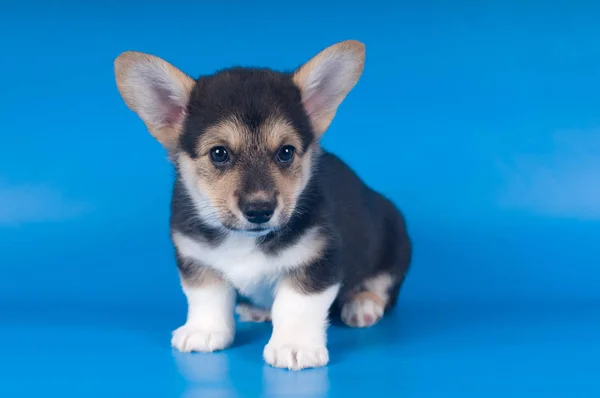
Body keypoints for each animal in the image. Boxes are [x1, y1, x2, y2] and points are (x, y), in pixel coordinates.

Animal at [113, 40, 412, 370]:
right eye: (219, 153)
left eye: (286, 152)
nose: (259, 210)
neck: (243, 239)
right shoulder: (197, 259)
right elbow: (206, 296)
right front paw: (204, 331)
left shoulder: (318, 260)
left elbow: (296, 305)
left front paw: (294, 345)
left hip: (394, 238)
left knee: (382, 284)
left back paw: (362, 304)